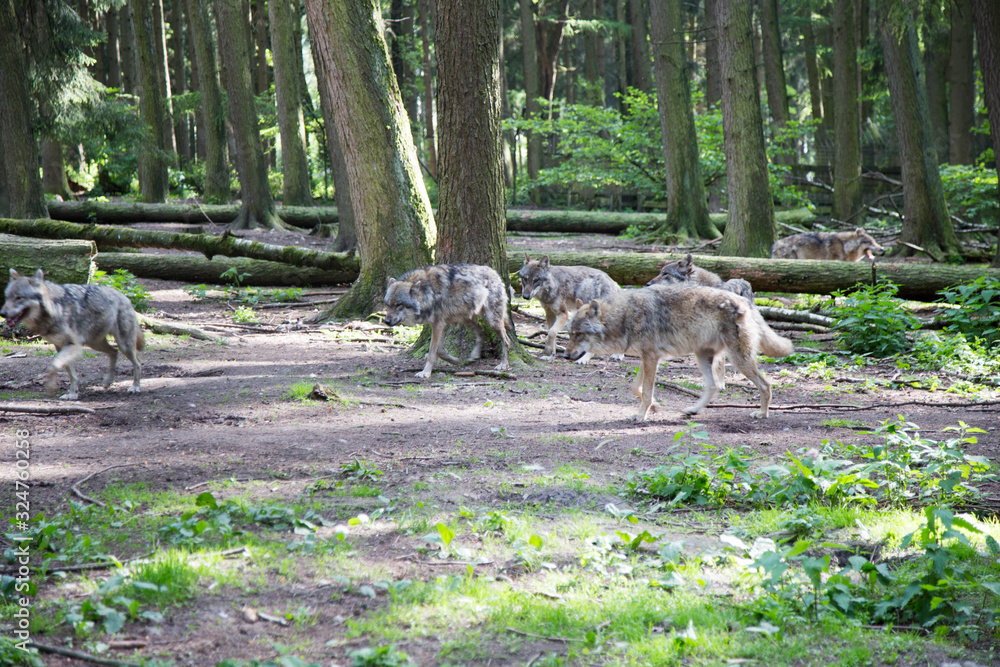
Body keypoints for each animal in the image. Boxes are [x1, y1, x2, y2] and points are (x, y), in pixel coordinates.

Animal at [1, 268, 144, 400]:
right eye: (7, 298)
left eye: (19, 298)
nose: (2, 313)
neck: (55, 309)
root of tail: (124, 296)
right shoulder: (60, 346)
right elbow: (71, 373)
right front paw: (72, 394)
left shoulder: (73, 345)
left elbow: (53, 366)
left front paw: (52, 388)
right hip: (95, 344)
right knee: (114, 352)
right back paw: (107, 381)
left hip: (123, 345)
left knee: (137, 363)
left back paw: (135, 387)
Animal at [564, 284, 793, 421]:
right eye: (569, 333)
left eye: (578, 334)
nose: (565, 356)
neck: (625, 316)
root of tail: (745, 301)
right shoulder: (649, 358)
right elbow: (636, 388)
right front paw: (654, 407)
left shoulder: (650, 358)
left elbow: (645, 392)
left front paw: (641, 415)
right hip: (702, 357)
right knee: (713, 386)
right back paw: (693, 410)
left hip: (738, 359)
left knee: (765, 385)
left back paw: (762, 413)